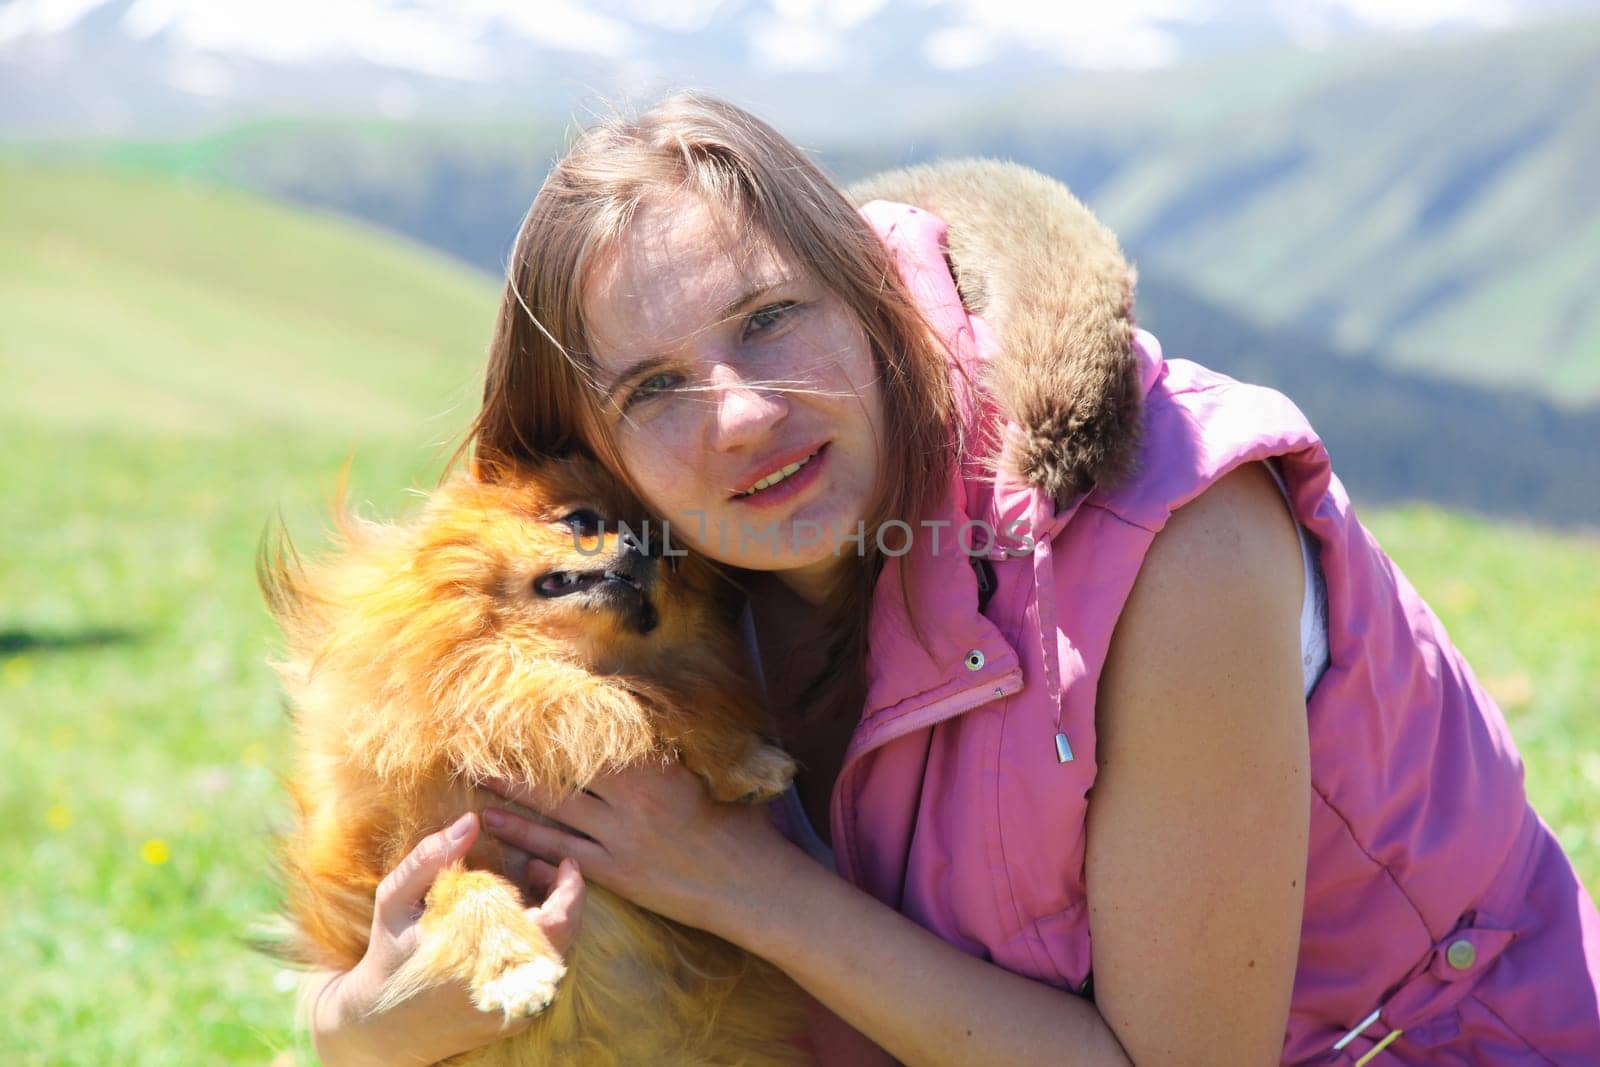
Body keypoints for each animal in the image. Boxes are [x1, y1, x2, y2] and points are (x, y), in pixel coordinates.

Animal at [267, 454, 812, 1062]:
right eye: (580, 521)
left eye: (674, 556)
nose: (642, 543)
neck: (539, 662)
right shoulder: (408, 861)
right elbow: (471, 890)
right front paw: (516, 969)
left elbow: (655, 702)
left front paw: (743, 760)